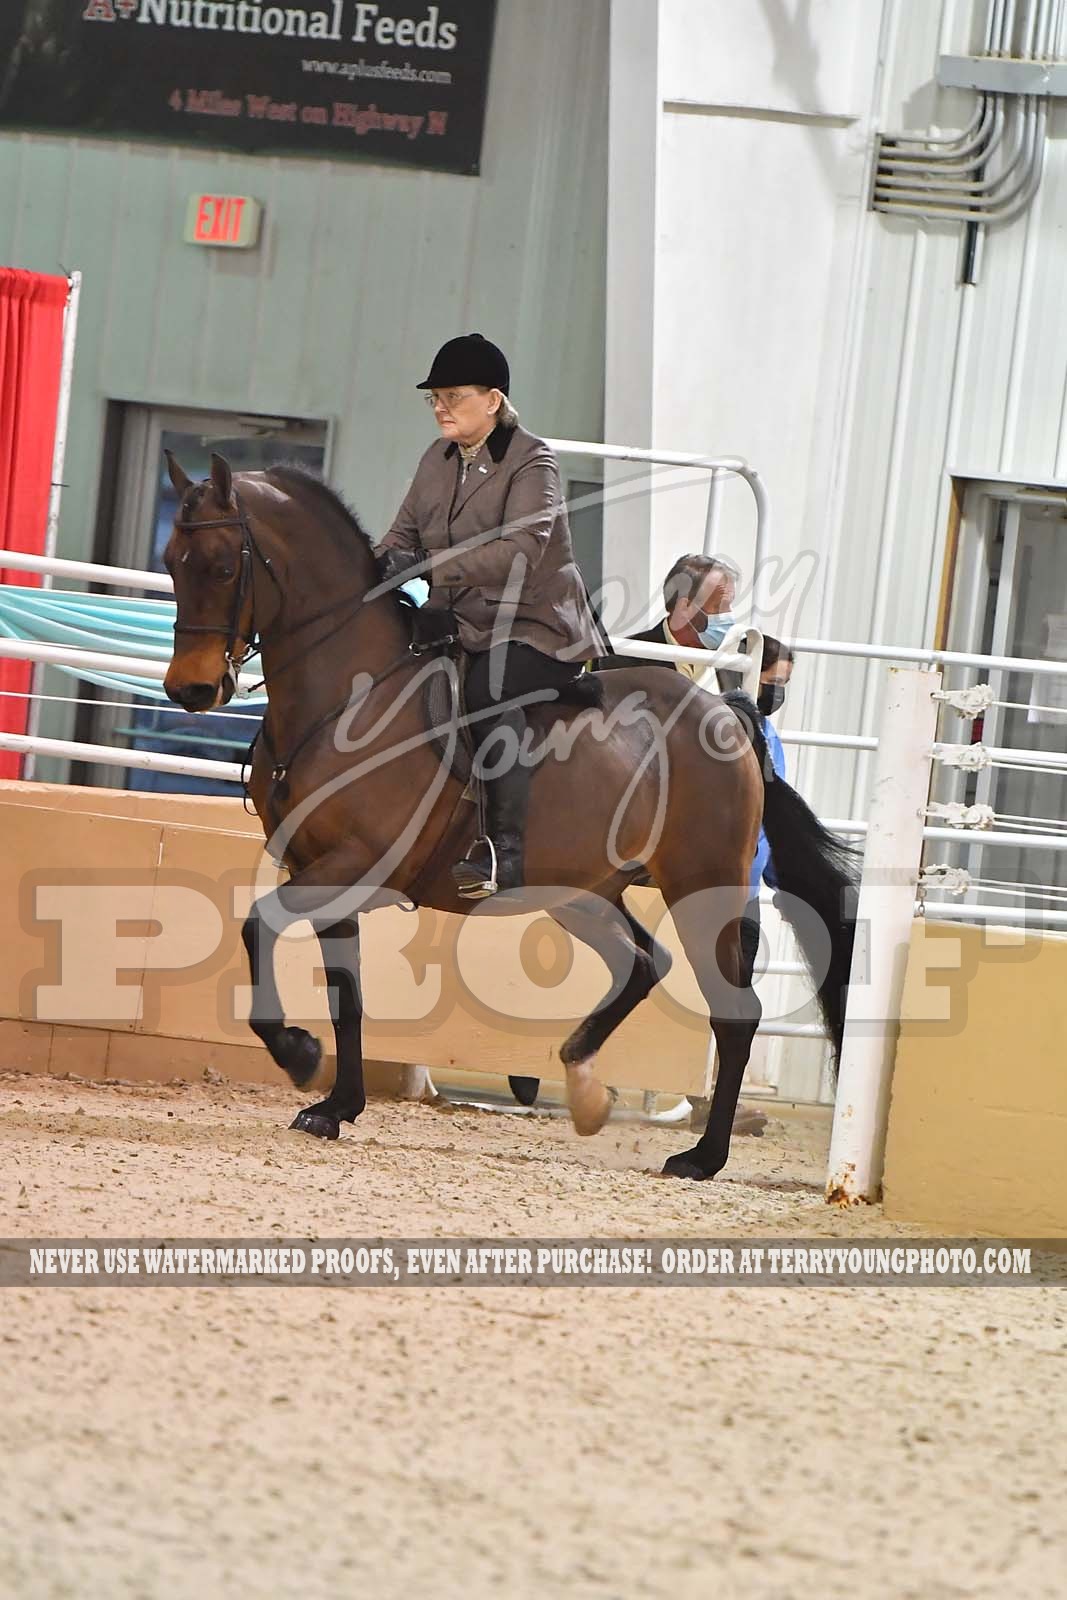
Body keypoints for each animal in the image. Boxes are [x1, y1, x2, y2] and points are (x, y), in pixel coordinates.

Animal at [160, 451, 856, 1182]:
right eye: (172, 561)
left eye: (222, 566)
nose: (191, 689)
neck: (350, 692)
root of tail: (726, 711)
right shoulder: (324, 868)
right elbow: (344, 995)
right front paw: (335, 1105)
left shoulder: (352, 861)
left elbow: (257, 926)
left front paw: (297, 1054)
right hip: (580, 892)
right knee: (643, 961)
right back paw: (585, 1089)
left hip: (703, 883)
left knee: (735, 1013)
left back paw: (702, 1156)